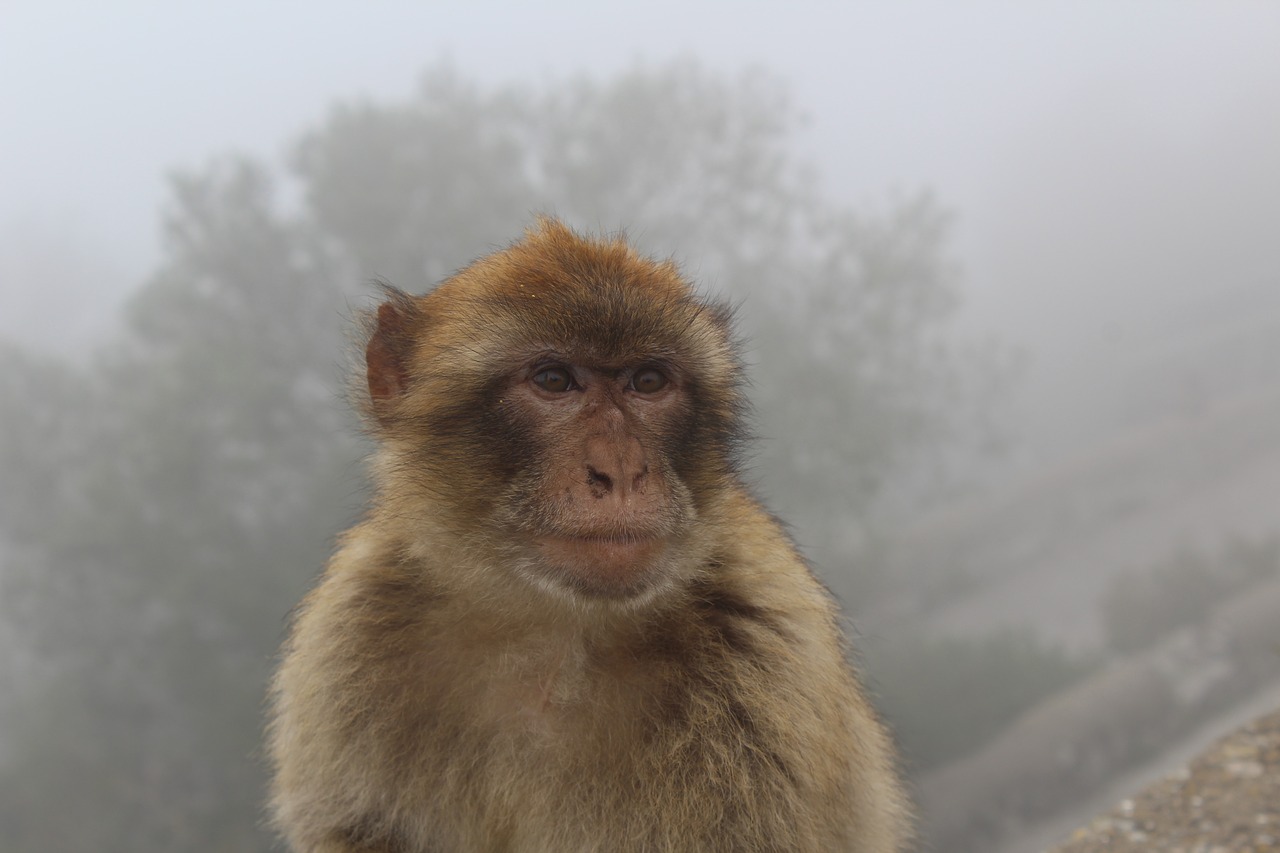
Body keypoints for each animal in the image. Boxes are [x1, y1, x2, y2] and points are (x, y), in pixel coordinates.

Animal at [264, 216, 916, 845]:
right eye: (554, 380)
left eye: (648, 382)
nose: (621, 470)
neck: (552, 627)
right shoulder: (349, 638)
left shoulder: (768, 660)